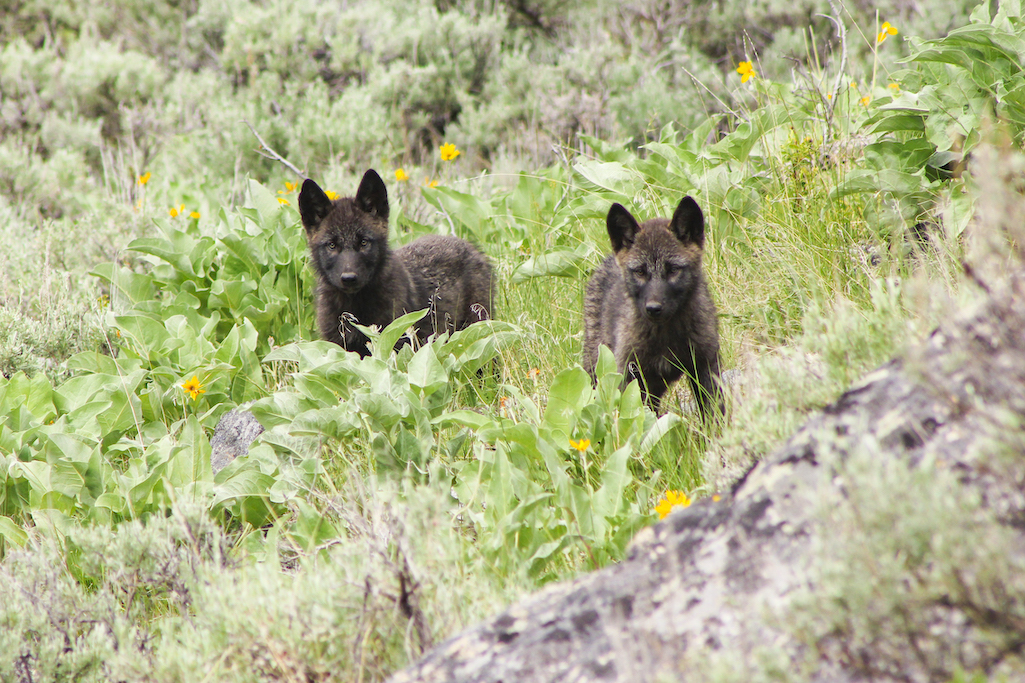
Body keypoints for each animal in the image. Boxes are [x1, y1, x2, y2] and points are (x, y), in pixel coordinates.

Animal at [298, 169, 492, 356]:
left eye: (364, 242)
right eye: (331, 245)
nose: (349, 278)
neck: (355, 306)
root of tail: (472, 247)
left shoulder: (395, 341)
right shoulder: (338, 346)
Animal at [582, 197, 724, 419]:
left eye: (673, 269)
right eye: (640, 272)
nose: (653, 308)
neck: (665, 336)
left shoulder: (705, 365)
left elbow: (714, 414)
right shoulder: (629, 374)